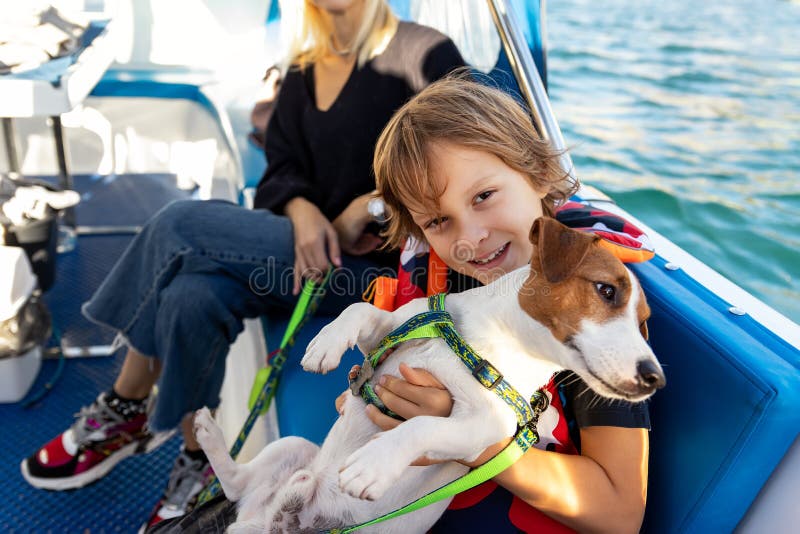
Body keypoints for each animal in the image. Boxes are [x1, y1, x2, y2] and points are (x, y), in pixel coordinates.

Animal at [192, 217, 664, 532]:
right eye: (606, 290)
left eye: (645, 323)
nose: (654, 377)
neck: (486, 341)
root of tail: (268, 520)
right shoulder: (388, 333)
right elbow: (359, 310)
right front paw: (324, 344)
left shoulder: (481, 428)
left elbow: (422, 426)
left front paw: (375, 464)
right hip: (291, 446)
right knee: (235, 482)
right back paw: (209, 434)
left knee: (235, 487)